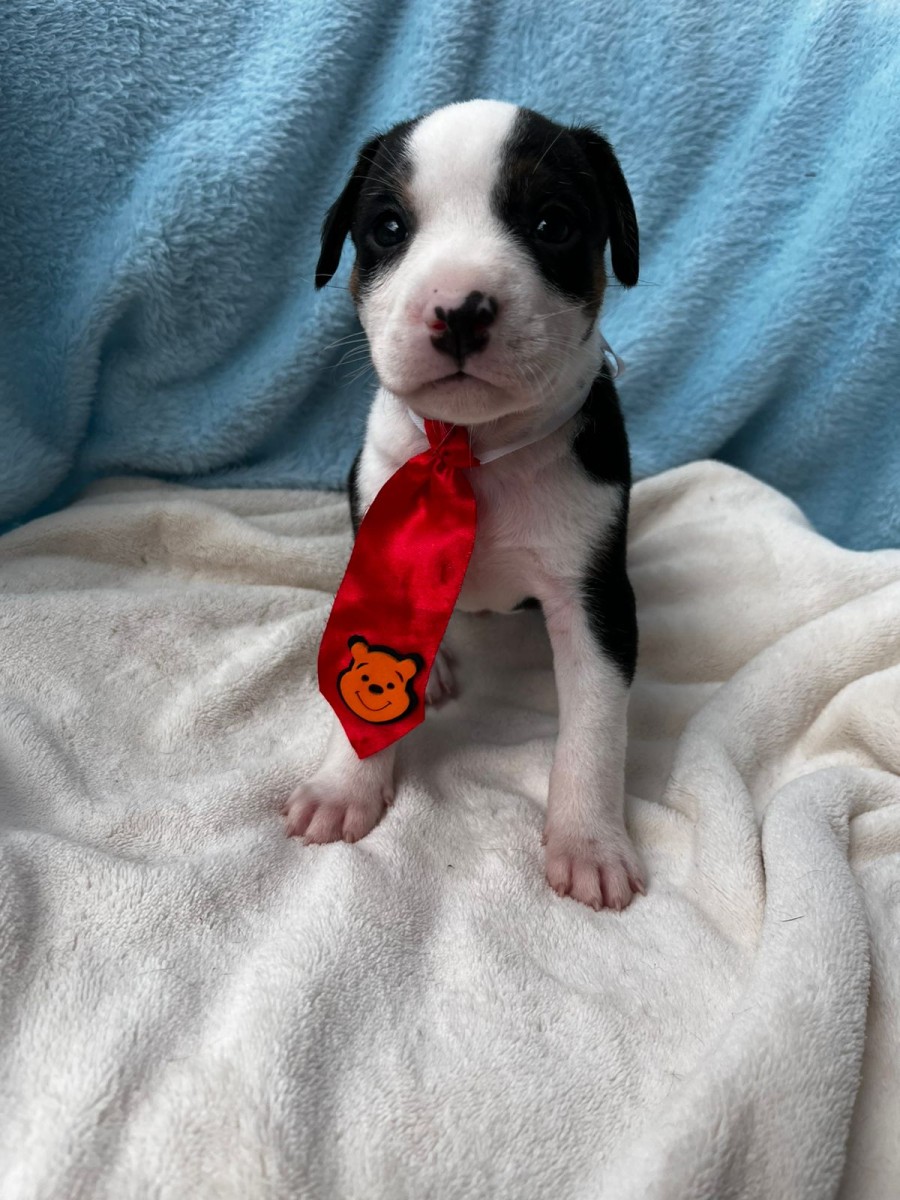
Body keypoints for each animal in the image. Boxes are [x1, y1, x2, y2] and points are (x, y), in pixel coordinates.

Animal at [282, 99, 644, 910]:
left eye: (552, 223)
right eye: (388, 227)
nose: (460, 308)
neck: (472, 450)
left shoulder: (596, 598)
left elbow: (597, 723)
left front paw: (589, 841)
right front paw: (345, 787)